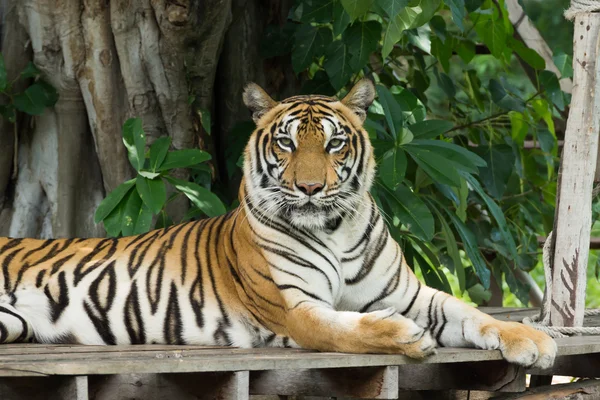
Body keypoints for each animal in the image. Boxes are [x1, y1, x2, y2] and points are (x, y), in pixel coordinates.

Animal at [0, 79, 556, 368]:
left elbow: (472, 313)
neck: (336, 229)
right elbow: (345, 328)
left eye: (335, 143)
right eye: (286, 143)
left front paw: (533, 340)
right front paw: (403, 336)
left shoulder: (409, 293)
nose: (309, 188)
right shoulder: (295, 309)